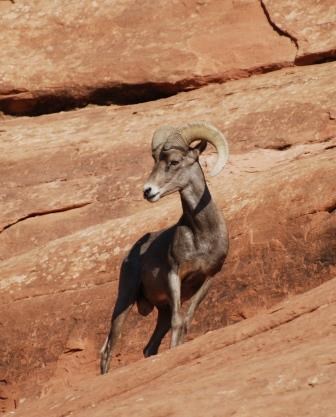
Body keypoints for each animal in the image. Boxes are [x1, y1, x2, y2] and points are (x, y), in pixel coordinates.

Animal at [100, 120, 230, 374]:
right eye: (155, 162)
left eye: (174, 162)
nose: (147, 191)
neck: (202, 236)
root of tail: (128, 257)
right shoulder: (174, 274)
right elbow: (178, 321)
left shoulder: (209, 277)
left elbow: (186, 320)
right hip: (125, 300)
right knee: (109, 348)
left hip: (161, 310)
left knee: (149, 348)